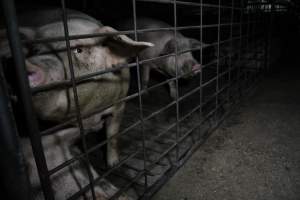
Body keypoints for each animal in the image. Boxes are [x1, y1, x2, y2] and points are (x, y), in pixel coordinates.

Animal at [0, 8, 154, 199]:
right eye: (36, 50)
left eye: (79, 50)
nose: (29, 67)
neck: (89, 113)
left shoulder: (119, 103)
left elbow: (112, 136)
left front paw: (113, 164)